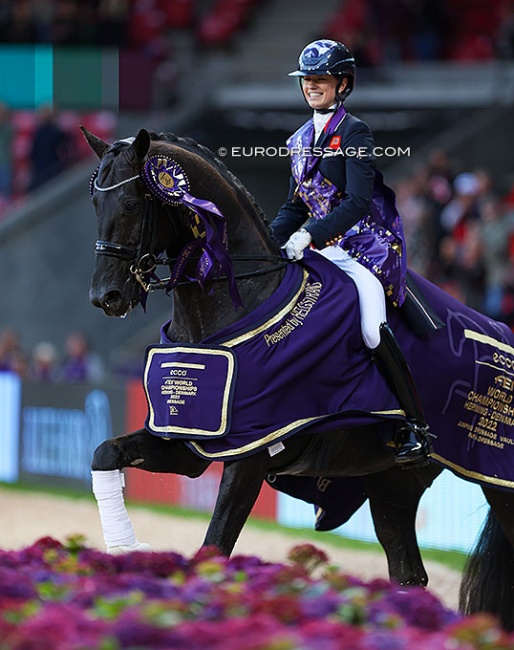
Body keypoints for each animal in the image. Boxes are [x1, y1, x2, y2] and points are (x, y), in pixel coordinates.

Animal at [82, 126, 512, 628]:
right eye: (96, 204)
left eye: (132, 204)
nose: (106, 297)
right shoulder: (189, 442)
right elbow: (105, 453)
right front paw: (124, 548)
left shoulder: (252, 452)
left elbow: (214, 548)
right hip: (394, 482)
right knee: (408, 574)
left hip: (498, 477)